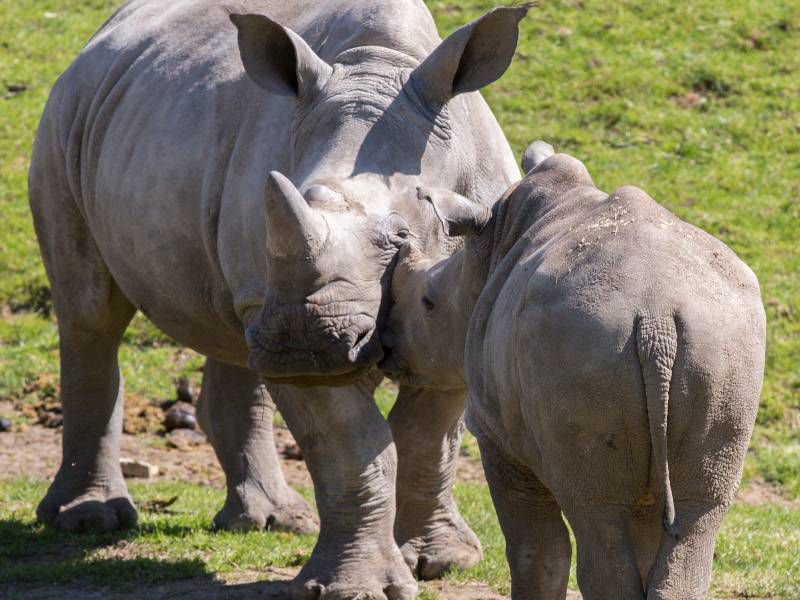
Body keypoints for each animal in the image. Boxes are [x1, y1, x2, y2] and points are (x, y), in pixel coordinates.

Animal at [29, 2, 532, 596]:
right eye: (292, 195)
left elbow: (430, 433)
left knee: (232, 334)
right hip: (69, 112)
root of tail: (98, 39)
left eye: (402, 237)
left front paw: (441, 562)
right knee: (91, 312)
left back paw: (269, 521)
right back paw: (90, 520)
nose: (302, 340)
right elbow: (351, 445)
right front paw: (356, 587)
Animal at [384, 146, 764, 600]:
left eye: (429, 303)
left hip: (585, 341)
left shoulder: (497, 437)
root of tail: (656, 318)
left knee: (595, 514)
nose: (387, 346)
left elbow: (536, 549)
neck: (489, 245)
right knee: (698, 513)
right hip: (723, 342)